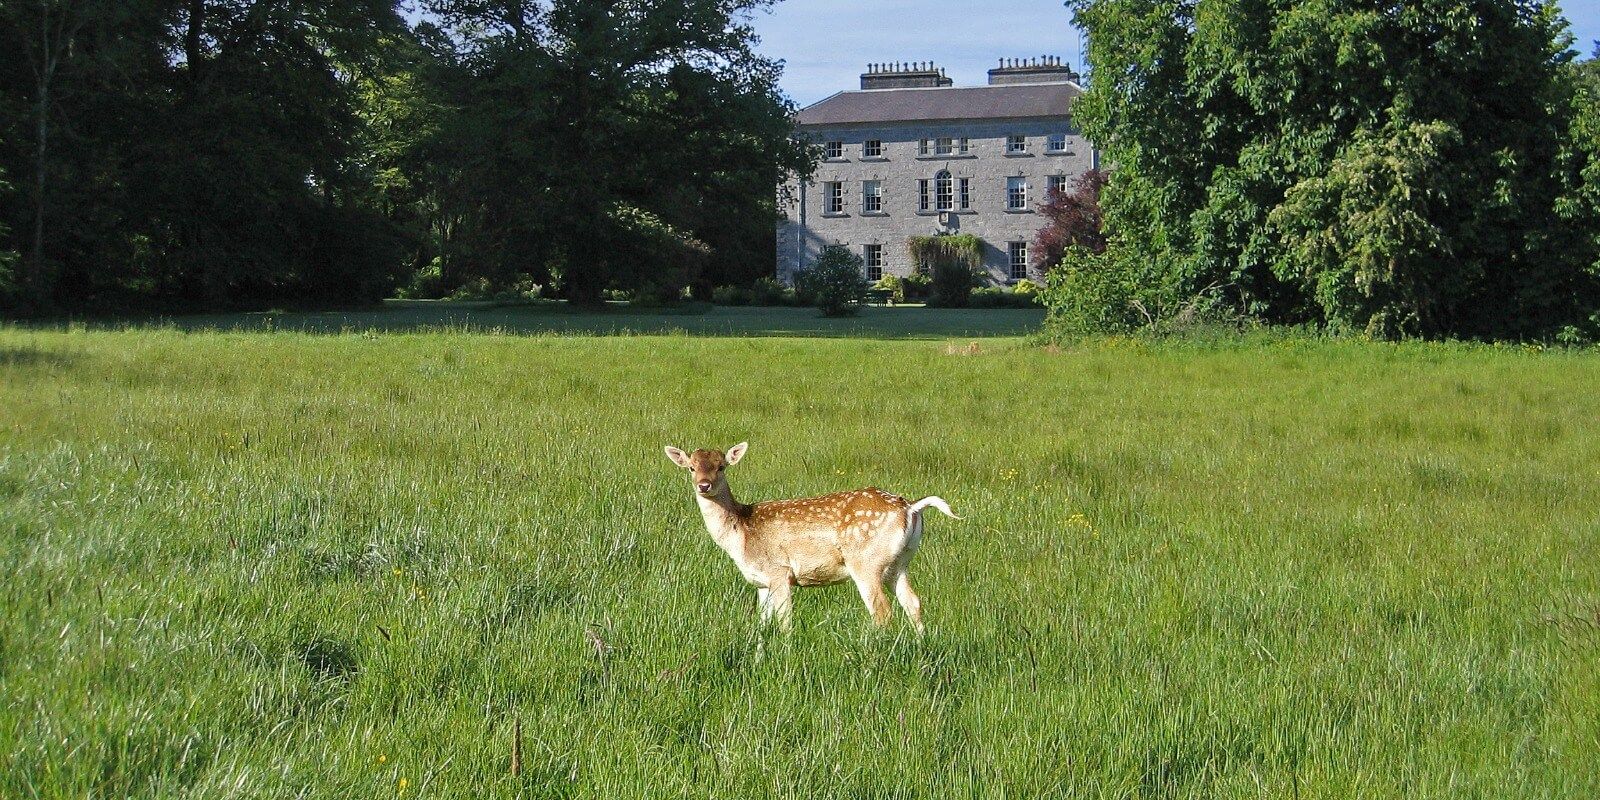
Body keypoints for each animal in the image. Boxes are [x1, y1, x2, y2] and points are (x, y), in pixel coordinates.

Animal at [659, 444, 953, 630]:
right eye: (691, 467)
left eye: (721, 466)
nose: (703, 485)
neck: (740, 532)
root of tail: (911, 507)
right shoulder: (761, 582)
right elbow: (762, 625)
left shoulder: (779, 571)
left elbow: (785, 621)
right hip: (900, 563)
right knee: (913, 602)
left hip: (866, 561)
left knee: (881, 610)